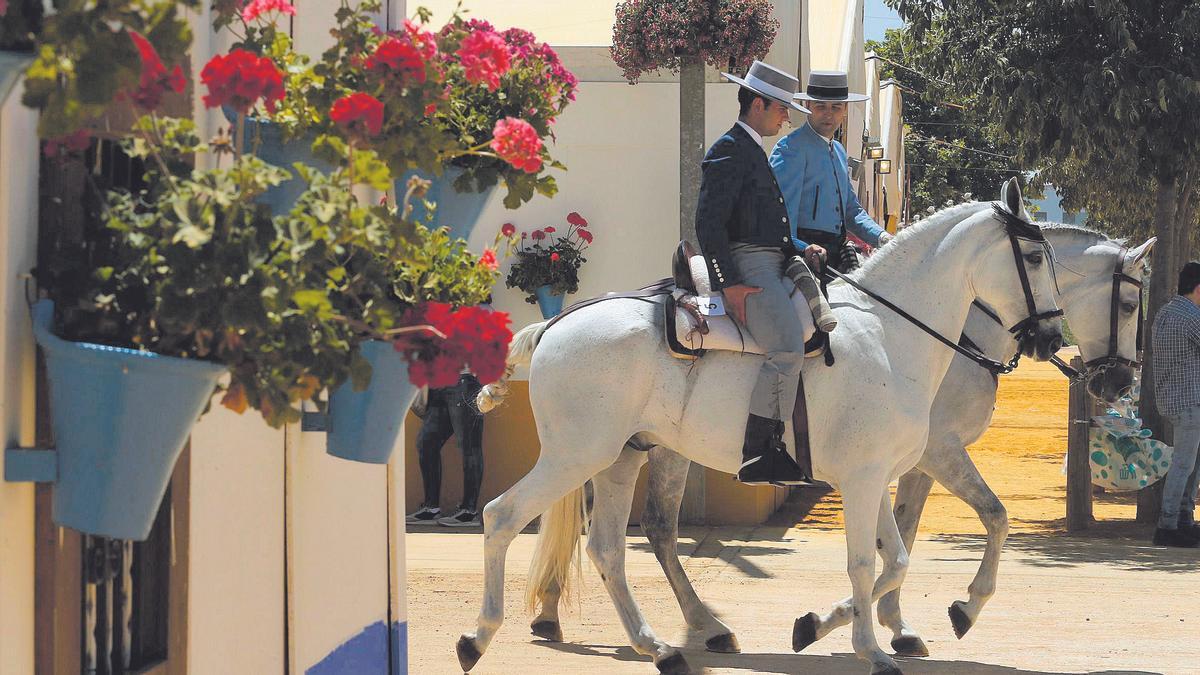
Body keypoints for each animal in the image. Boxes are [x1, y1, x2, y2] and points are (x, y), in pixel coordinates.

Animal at [456, 180, 1060, 672]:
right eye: (1033, 255)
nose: (1051, 338)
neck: (888, 334)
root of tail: (556, 323)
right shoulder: (865, 479)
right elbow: (866, 563)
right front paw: (874, 649)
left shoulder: (875, 476)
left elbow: (896, 561)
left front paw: (815, 626)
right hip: (575, 456)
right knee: (502, 516)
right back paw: (477, 638)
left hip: (622, 458)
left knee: (608, 548)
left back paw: (661, 647)